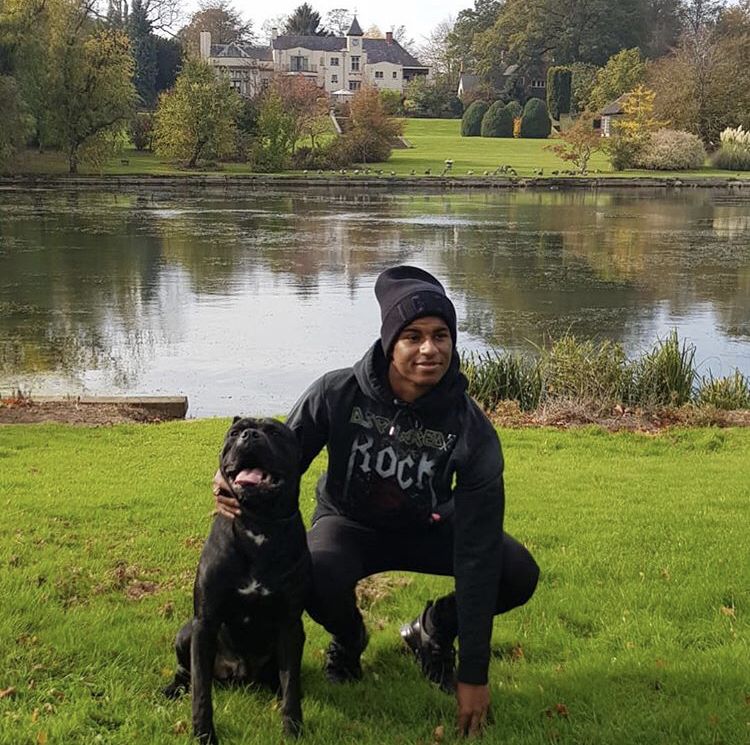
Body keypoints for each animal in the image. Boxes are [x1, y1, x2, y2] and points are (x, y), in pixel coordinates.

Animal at [166, 416, 312, 740]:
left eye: (275, 432)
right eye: (233, 433)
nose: (248, 435)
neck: (258, 523)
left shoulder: (290, 624)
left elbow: (291, 682)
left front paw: (292, 726)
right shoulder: (205, 622)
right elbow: (201, 691)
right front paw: (204, 733)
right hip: (186, 632)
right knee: (187, 672)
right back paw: (173, 688)